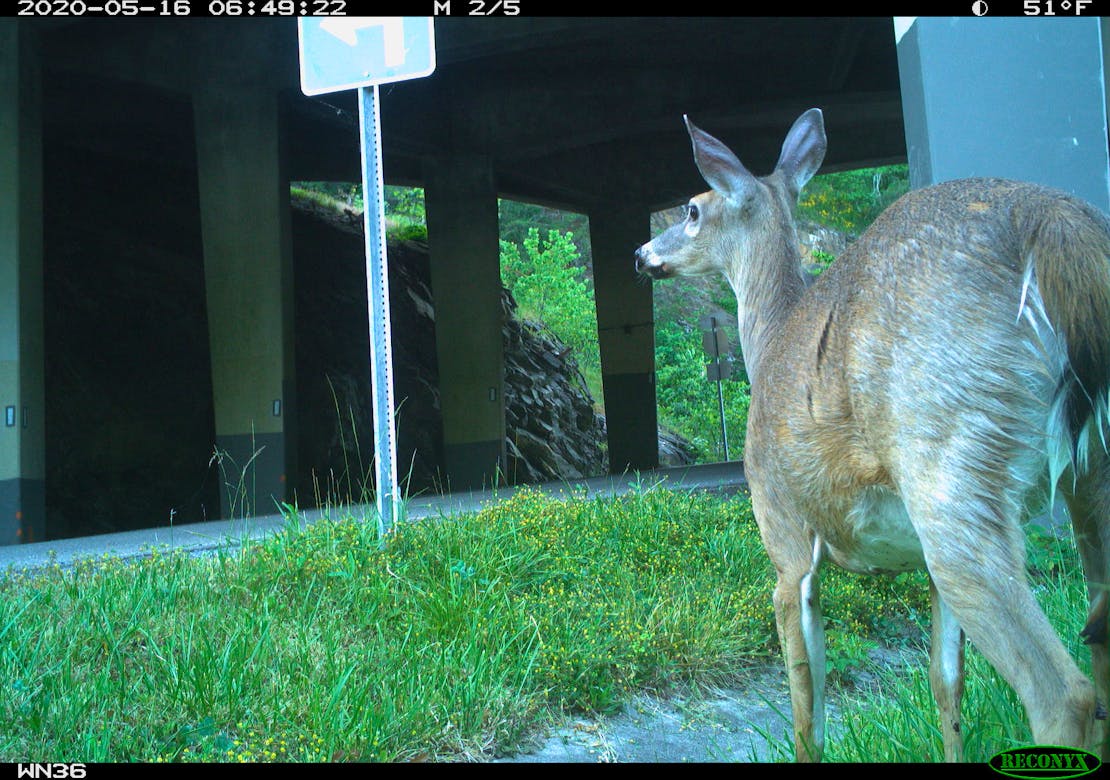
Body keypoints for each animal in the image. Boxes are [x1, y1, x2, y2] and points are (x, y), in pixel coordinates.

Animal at [639, 108, 1110, 763]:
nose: (640, 253)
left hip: (951, 464)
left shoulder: (784, 533)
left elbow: (807, 699)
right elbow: (946, 681)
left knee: (1065, 695)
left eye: (691, 208)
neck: (770, 341)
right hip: (1087, 471)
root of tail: (1062, 229)